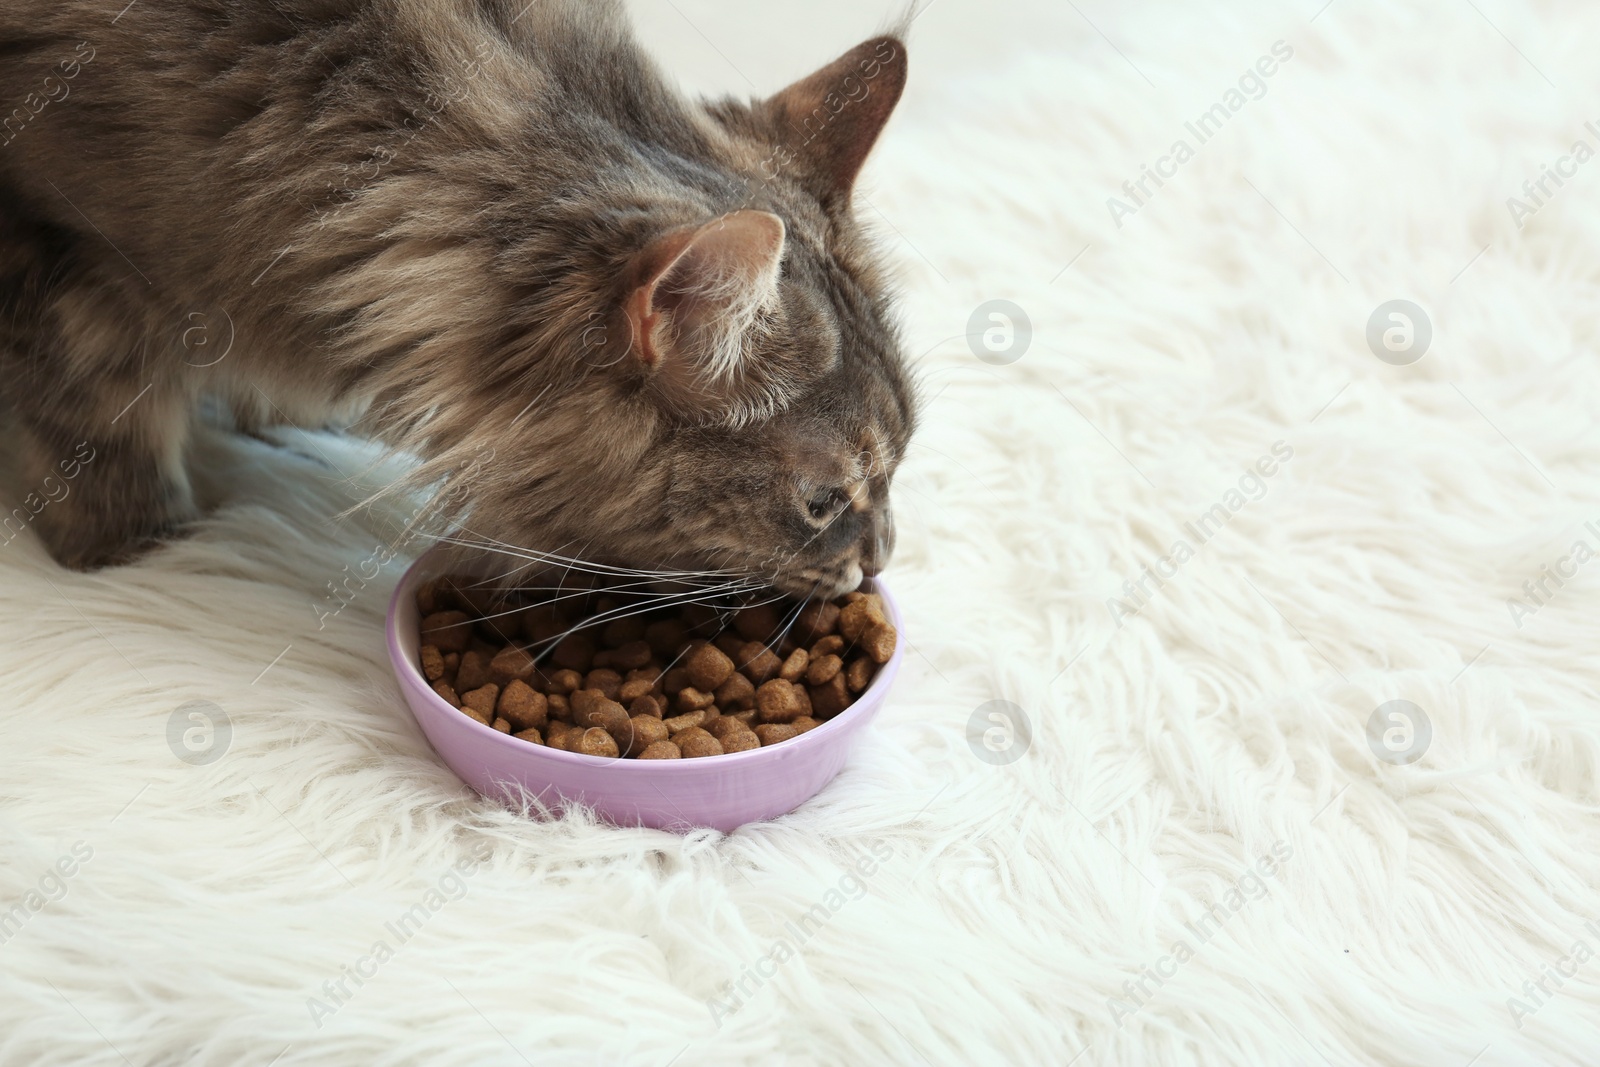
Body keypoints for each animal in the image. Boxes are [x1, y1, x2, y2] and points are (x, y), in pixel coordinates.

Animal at [0, 0, 921, 601]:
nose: (881, 557)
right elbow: (101, 435)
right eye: (821, 502)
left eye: (904, 457)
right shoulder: (66, 259)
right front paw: (141, 553)